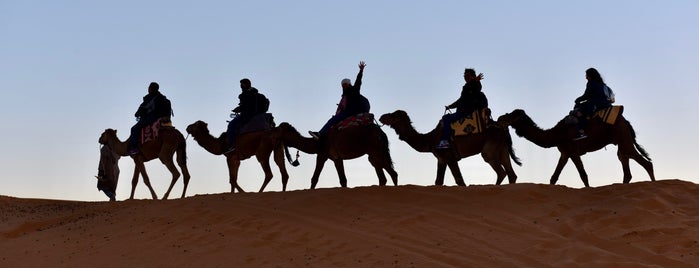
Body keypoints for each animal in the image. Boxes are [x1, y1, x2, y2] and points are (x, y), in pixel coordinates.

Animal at [380, 110, 524, 185]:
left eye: (393, 115)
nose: (382, 117)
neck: (430, 139)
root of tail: (503, 128)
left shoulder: (450, 156)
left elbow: (459, 180)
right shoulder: (441, 159)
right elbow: (438, 181)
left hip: (490, 149)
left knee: (500, 171)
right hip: (502, 148)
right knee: (511, 174)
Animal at [498, 109, 656, 186]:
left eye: (512, 115)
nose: (500, 118)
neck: (556, 134)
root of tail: (627, 123)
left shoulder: (573, 152)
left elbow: (583, 176)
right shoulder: (565, 153)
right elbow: (554, 177)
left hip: (624, 139)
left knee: (646, 163)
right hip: (621, 142)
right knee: (625, 162)